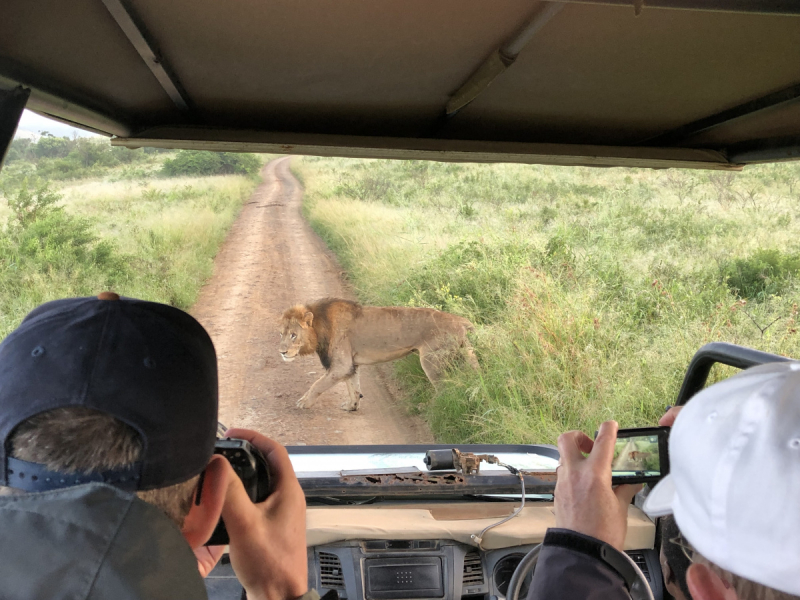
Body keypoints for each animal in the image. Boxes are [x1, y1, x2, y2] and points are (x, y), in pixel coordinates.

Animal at [278, 298, 478, 410]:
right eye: (281, 333)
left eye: (293, 335)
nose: (281, 352)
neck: (320, 327)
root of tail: (461, 321)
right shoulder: (350, 365)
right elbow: (353, 387)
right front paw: (352, 406)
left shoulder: (341, 365)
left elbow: (318, 385)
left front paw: (304, 402)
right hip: (465, 353)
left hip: (431, 360)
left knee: (443, 388)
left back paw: (429, 408)